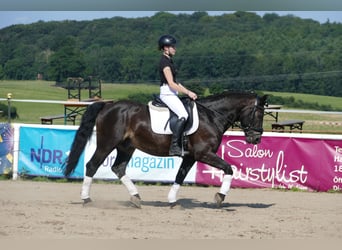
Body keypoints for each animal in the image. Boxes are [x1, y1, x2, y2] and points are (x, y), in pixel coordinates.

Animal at [63, 91, 268, 208]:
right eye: (258, 114)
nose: (256, 139)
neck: (211, 116)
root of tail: (108, 104)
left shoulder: (191, 157)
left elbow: (180, 176)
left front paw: (172, 201)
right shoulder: (204, 154)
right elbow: (229, 168)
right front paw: (220, 197)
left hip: (126, 147)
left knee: (118, 168)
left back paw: (136, 198)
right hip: (107, 143)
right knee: (92, 165)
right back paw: (86, 199)